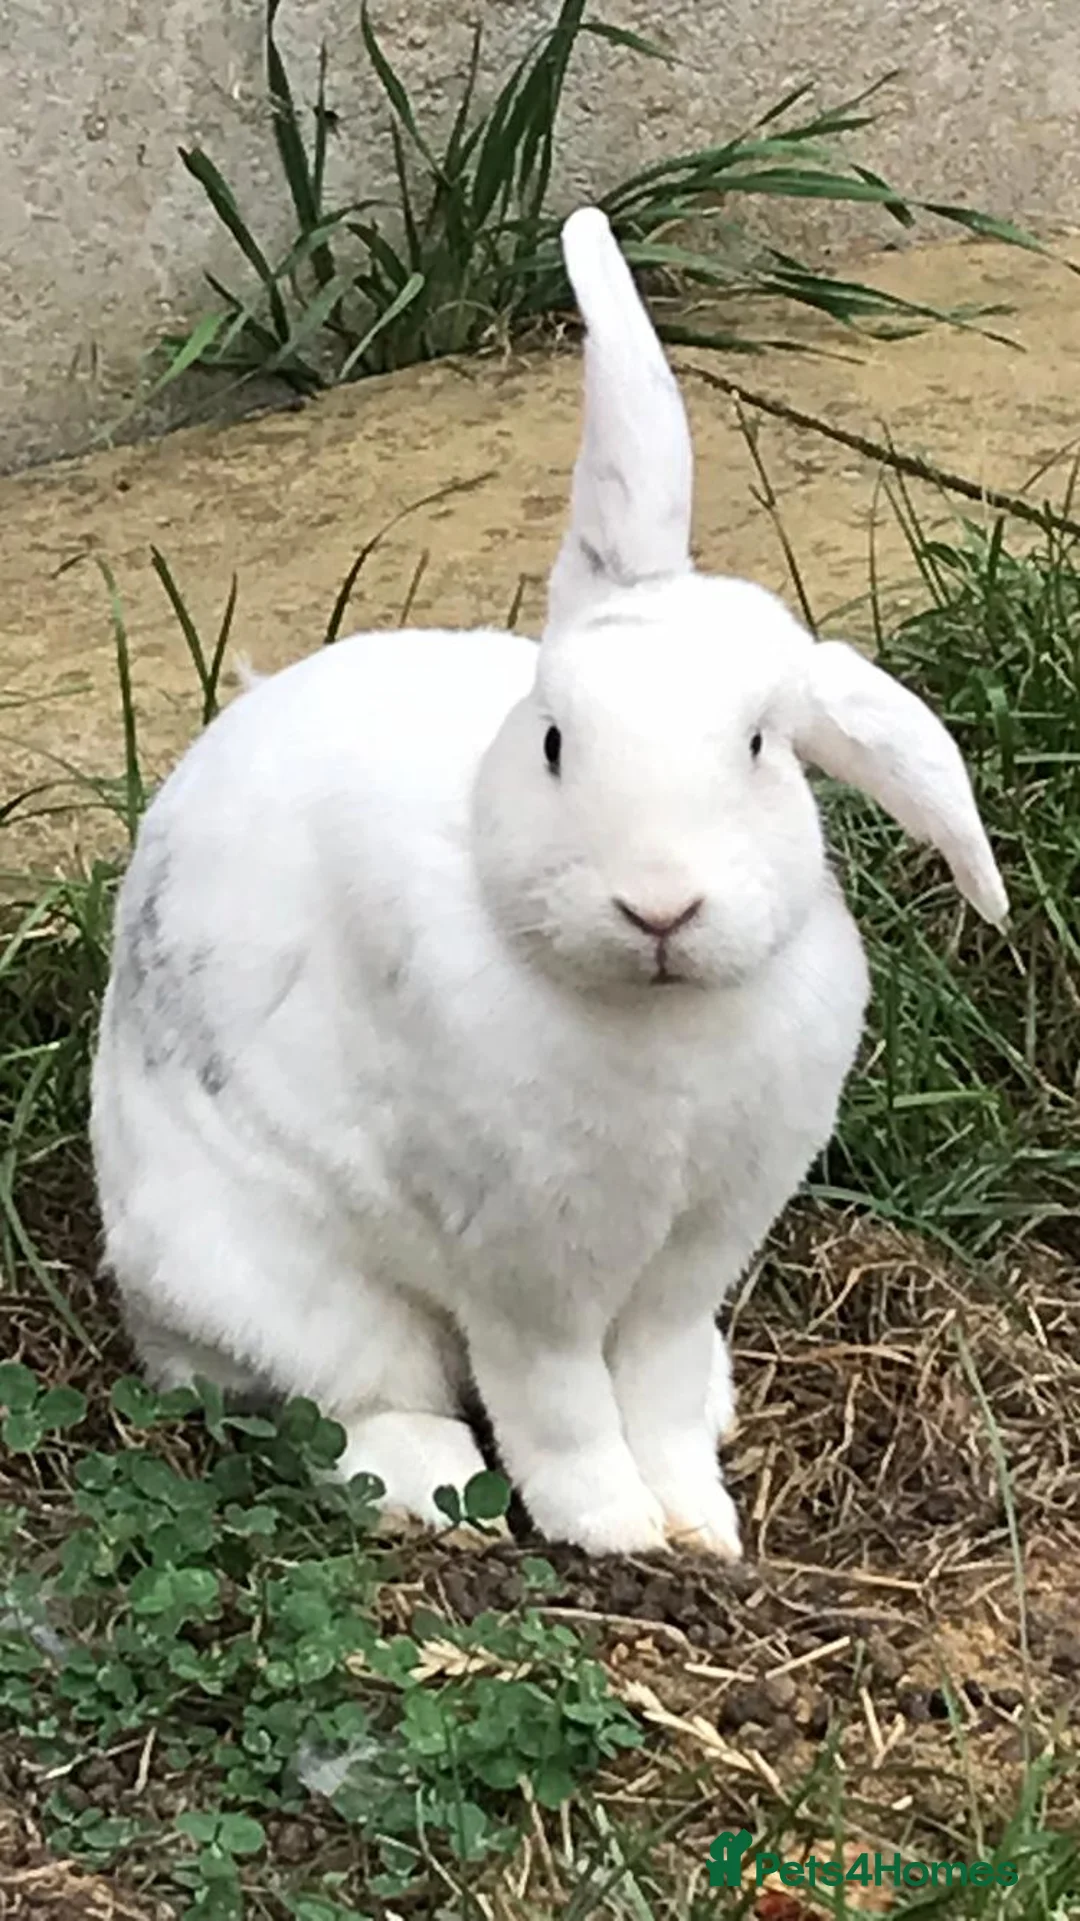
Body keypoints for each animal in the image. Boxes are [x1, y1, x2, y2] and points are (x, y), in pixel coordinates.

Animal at [90, 207, 1008, 1560]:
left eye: (760, 748)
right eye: (555, 740)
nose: (660, 905)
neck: (660, 1016)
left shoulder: (696, 1251)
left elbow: (657, 1383)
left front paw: (698, 1522)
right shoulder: (526, 1269)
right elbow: (559, 1403)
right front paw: (616, 1531)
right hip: (285, 1283)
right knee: (347, 1399)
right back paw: (429, 1486)